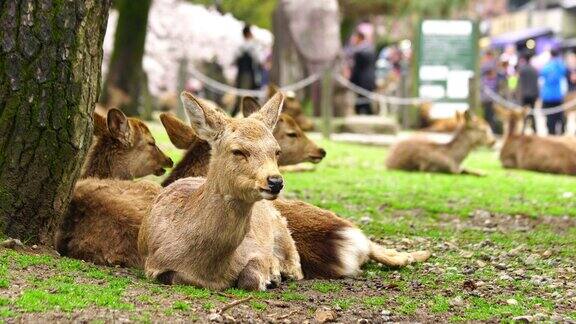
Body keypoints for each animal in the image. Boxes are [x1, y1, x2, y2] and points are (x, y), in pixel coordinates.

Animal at [138, 92, 304, 292]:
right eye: (238, 151)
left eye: (277, 151)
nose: (275, 181)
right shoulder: (152, 265)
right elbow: (177, 277)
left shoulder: (256, 247)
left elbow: (250, 278)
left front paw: (271, 275)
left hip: (282, 228)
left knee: (297, 267)